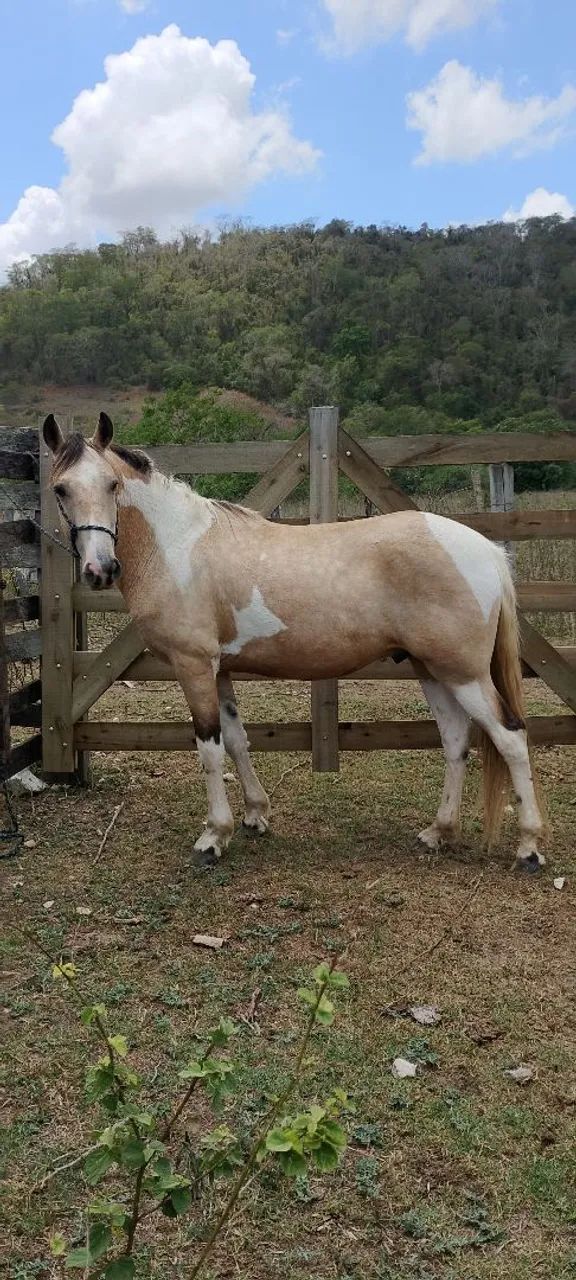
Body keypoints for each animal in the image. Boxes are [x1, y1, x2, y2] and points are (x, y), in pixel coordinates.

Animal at [42, 412, 546, 873]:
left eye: (111, 485)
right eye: (60, 489)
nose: (100, 569)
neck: (177, 548)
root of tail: (487, 549)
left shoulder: (193, 665)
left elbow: (209, 747)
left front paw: (213, 836)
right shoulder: (219, 669)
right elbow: (237, 740)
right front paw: (254, 816)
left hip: (463, 674)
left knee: (510, 737)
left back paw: (529, 847)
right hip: (433, 670)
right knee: (456, 739)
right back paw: (438, 832)